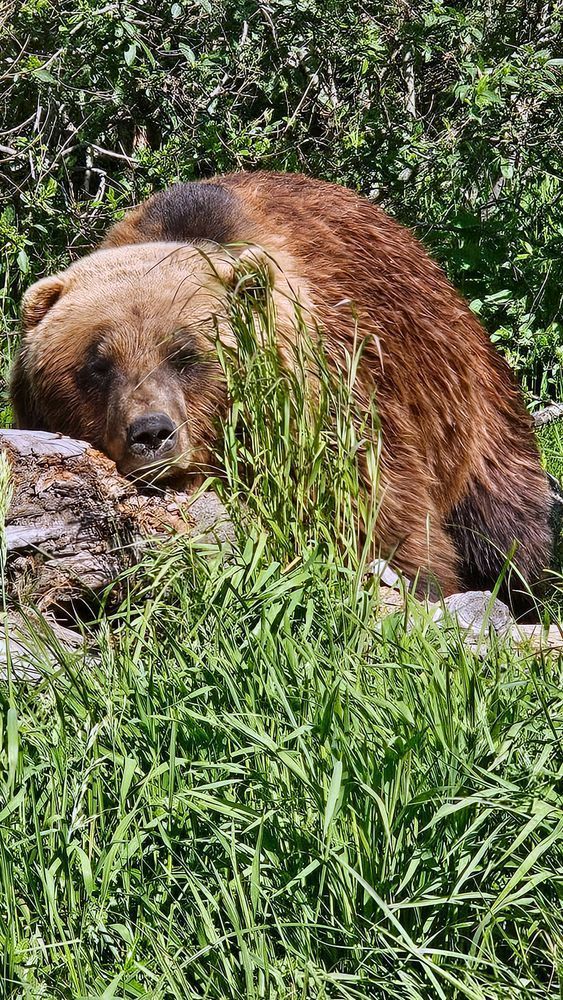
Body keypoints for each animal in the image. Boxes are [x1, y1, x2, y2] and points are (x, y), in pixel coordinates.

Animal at [10, 170, 554, 600]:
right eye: (98, 364)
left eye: (187, 356)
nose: (151, 433)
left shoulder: (339, 397)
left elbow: (377, 508)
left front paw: (419, 581)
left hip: (464, 391)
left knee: (508, 512)